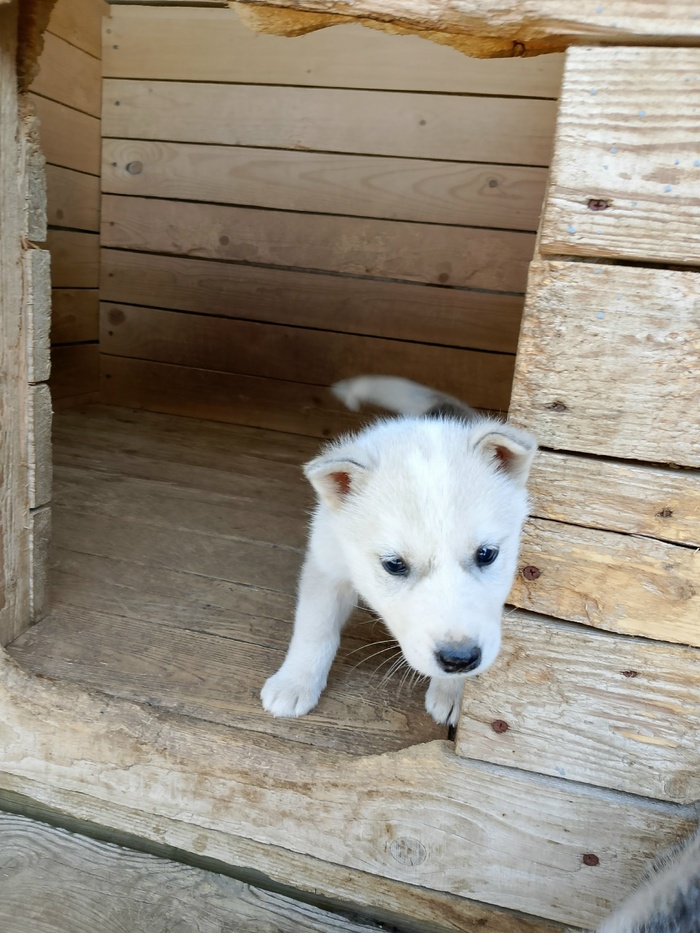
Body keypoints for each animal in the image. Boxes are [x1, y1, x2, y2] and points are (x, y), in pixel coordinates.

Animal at [261, 376, 537, 726]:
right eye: (394, 564)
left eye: (486, 554)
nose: (459, 659)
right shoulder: (327, 564)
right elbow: (315, 627)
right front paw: (294, 682)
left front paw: (452, 691)